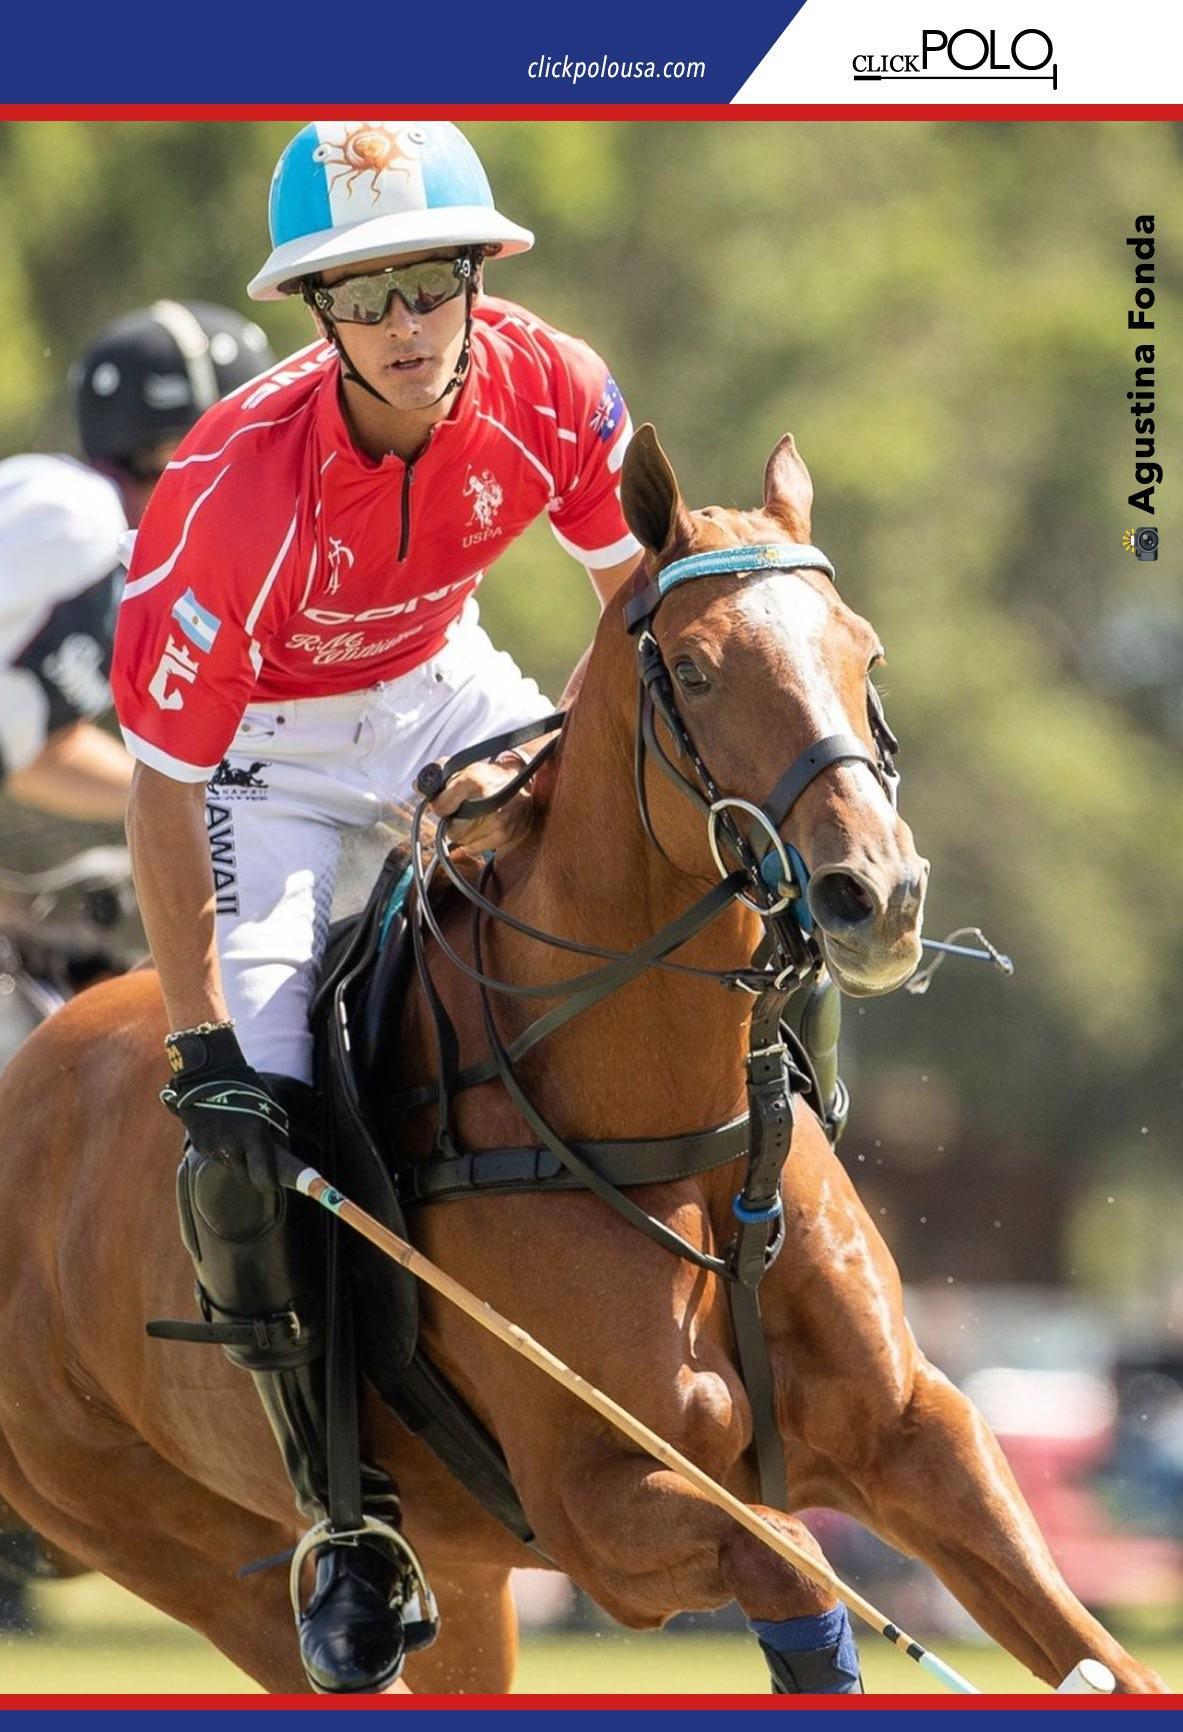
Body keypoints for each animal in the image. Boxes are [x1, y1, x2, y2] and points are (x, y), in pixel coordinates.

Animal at [0, 427, 1165, 1694]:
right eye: (694, 671)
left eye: (865, 650)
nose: (879, 895)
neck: (679, 1132)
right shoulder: (599, 1504)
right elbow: (797, 1558)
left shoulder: (914, 1432)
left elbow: (1099, 1653)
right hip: (181, 1548)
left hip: (464, 1586)